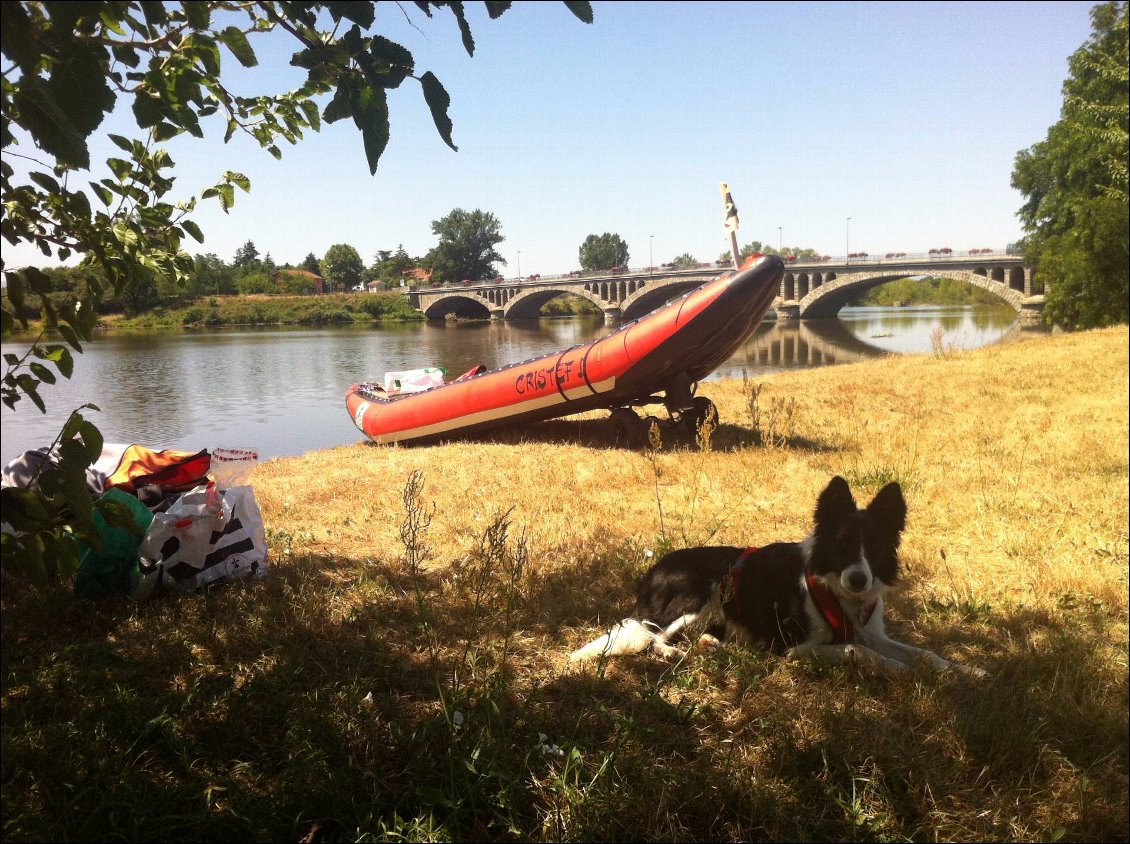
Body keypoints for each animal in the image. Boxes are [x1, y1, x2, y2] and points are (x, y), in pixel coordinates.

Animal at [569, 479, 985, 677]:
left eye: (874, 548)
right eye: (841, 545)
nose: (858, 580)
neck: (835, 590)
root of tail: (653, 570)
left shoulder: (871, 631)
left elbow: (925, 653)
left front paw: (965, 670)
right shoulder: (795, 648)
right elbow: (858, 650)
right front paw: (903, 671)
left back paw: (710, 644)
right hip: (701, 592)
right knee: (654, 637)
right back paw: (675, 652)